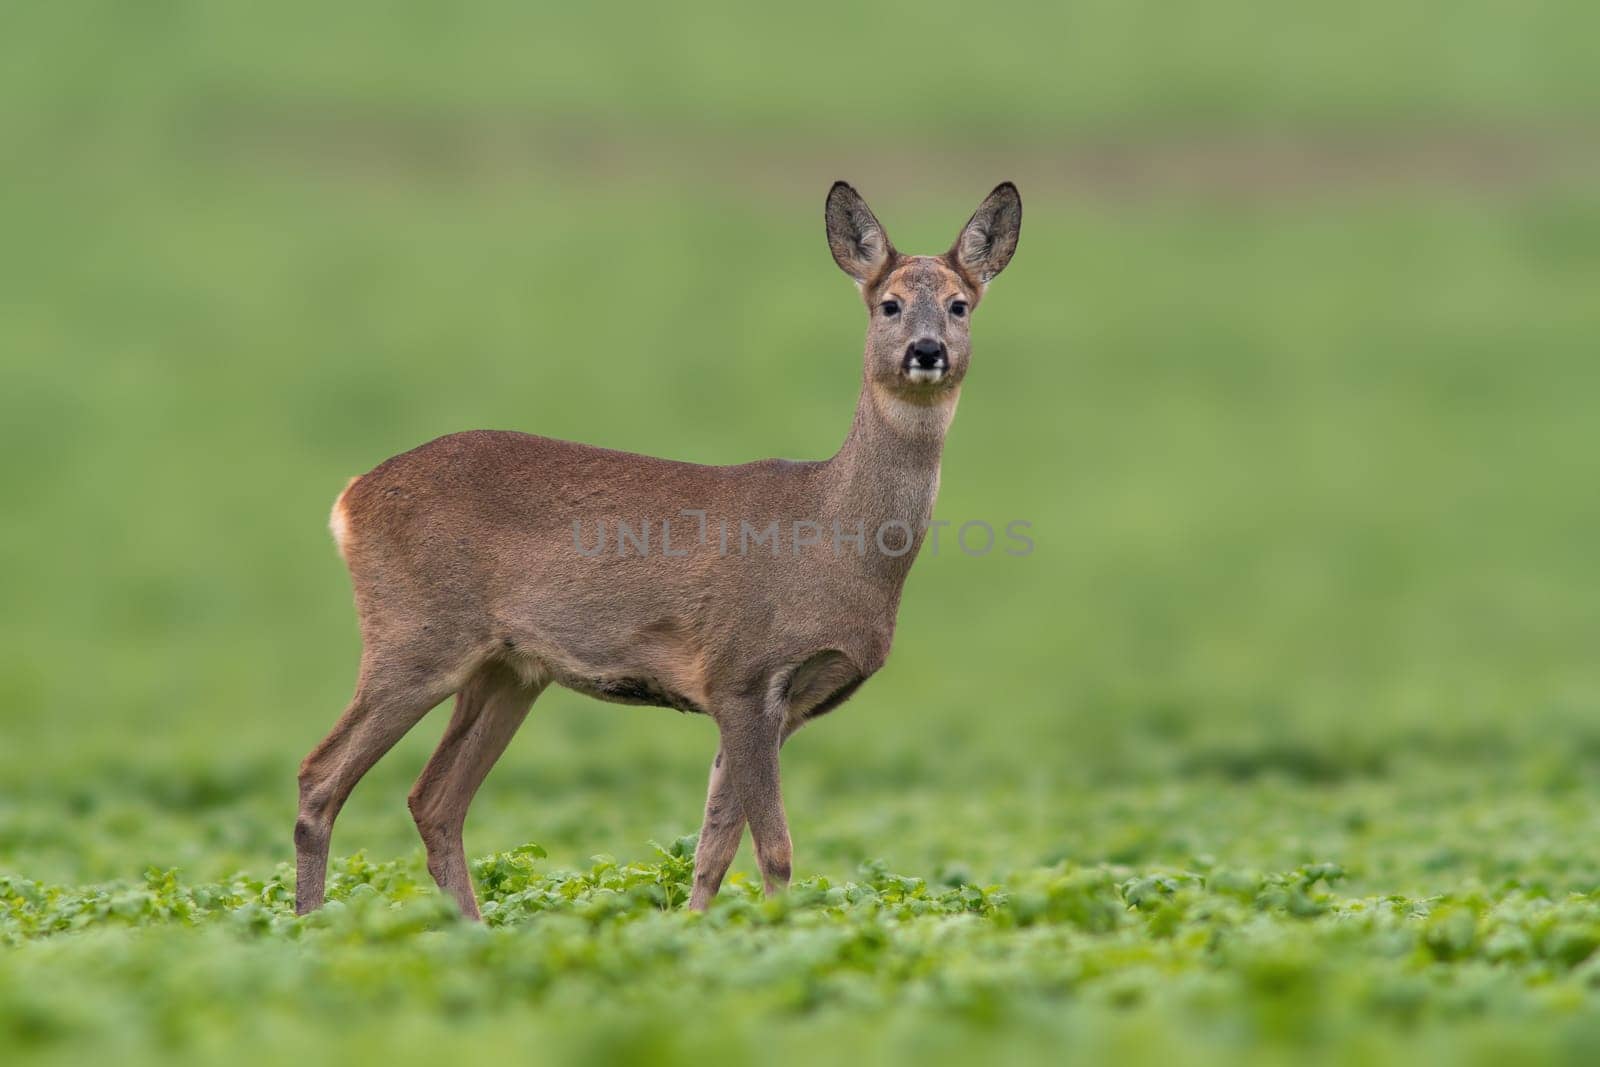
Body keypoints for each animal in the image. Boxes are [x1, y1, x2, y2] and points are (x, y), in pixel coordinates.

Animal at [296, 183, 1024, 921]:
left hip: (508, 669)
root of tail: (351, 497)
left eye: (960, 304)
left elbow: (712, 848)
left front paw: (697, 931)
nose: (928, 350)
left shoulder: (778, 705)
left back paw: (466, 930)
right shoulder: (742, 671)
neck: (832, 539)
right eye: (889, 304)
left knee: (434, 798)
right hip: (416, 633)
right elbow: (775, 849)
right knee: (320, 776)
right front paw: (777, 929)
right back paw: (307, 924)